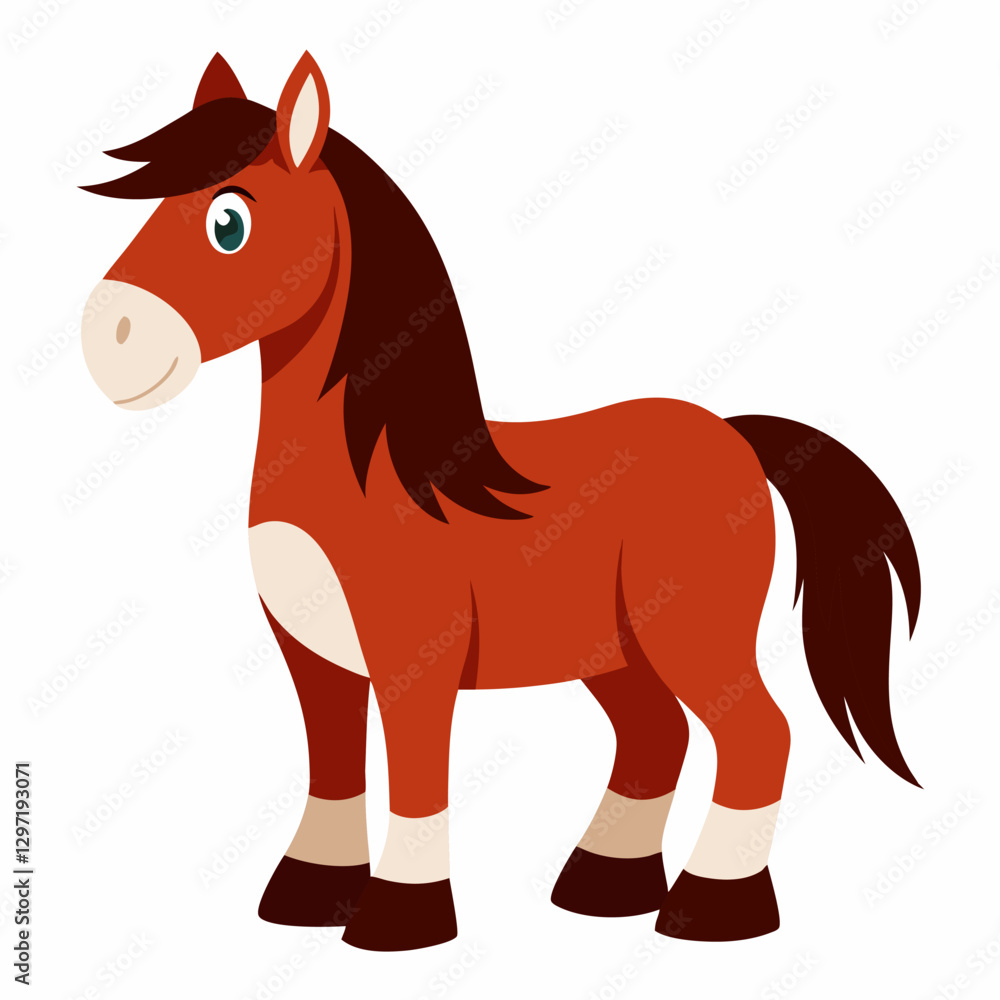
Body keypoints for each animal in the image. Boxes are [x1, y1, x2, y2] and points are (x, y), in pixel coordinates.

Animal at [80, 52, 921, 952]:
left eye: (229, 221)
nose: (108, 337)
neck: (373, 468)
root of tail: (735, 438)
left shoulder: (414, 659)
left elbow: (416, 775)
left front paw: (400, 915)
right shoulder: (314, 655)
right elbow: (332, 767)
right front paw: (310, 893)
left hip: (693, 634)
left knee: (759, 736)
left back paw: (711, 907)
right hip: (611, 651)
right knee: (655, 736)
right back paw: (603, 884)